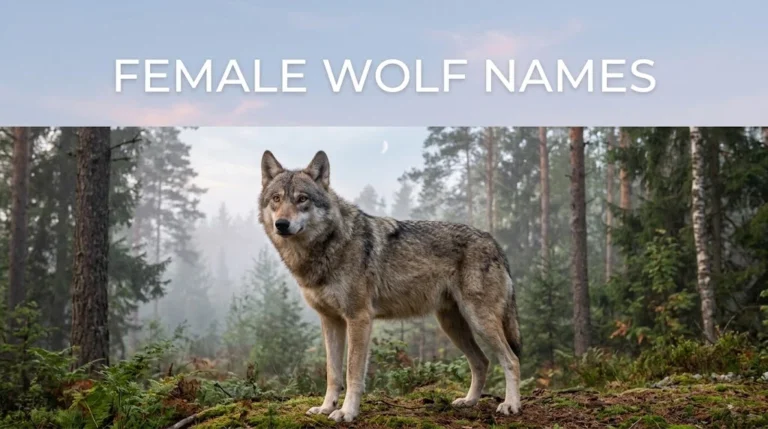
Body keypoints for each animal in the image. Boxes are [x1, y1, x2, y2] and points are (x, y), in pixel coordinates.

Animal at [259, 150, 522, 423]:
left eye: (302, 199)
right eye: (276, 199)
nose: (281, 224)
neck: (328, 246)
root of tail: (493, 241)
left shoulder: (359, 318)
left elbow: (353, 372)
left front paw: (347, 412)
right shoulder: (331, 321)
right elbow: (332, 373)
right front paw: (326, 408)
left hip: (480, 321)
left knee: (511, 360)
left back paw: (511, 405)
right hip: (452, 325)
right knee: (481, 362)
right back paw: (469, 401)